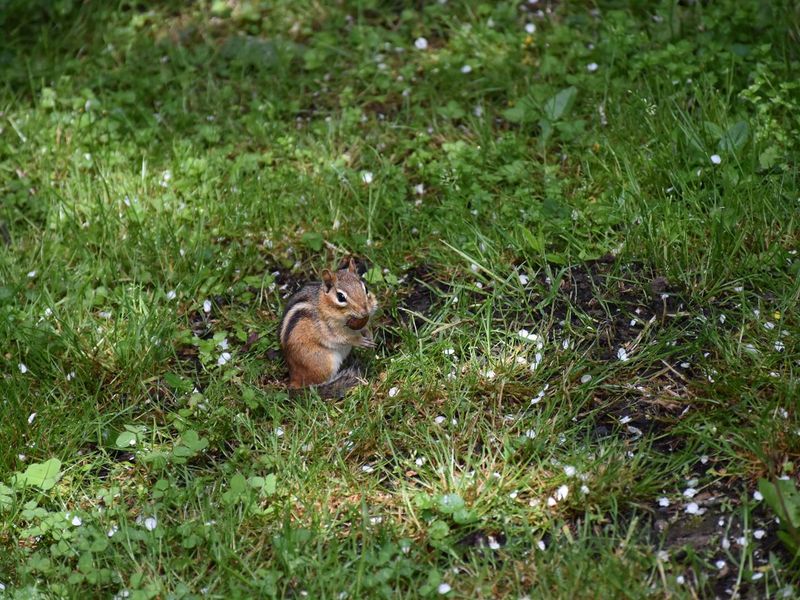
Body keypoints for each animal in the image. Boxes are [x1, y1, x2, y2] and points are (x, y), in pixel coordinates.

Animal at [280, 258, 377, 396]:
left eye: (366, 289)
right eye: (340, 297)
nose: (365, 312)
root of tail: (294, 378)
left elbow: (364, 328)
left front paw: (369, 335)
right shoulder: (328, 328)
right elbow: (343, 338)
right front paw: (359, 340)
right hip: (324, 362)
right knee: (314, 385)